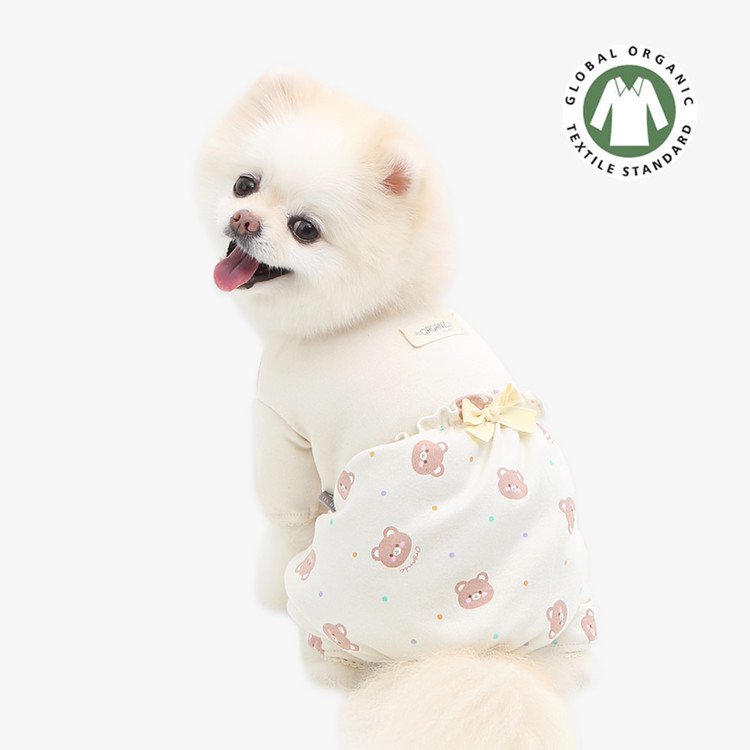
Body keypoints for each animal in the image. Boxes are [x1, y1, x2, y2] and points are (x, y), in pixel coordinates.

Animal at [198, 70, 596, 750]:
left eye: (304, 229)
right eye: (244, 184)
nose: (244, 218)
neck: (373, 310)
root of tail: (487, 653)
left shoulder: (280, 424)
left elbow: (284, 518)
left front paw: (263, 588)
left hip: (332, 587)